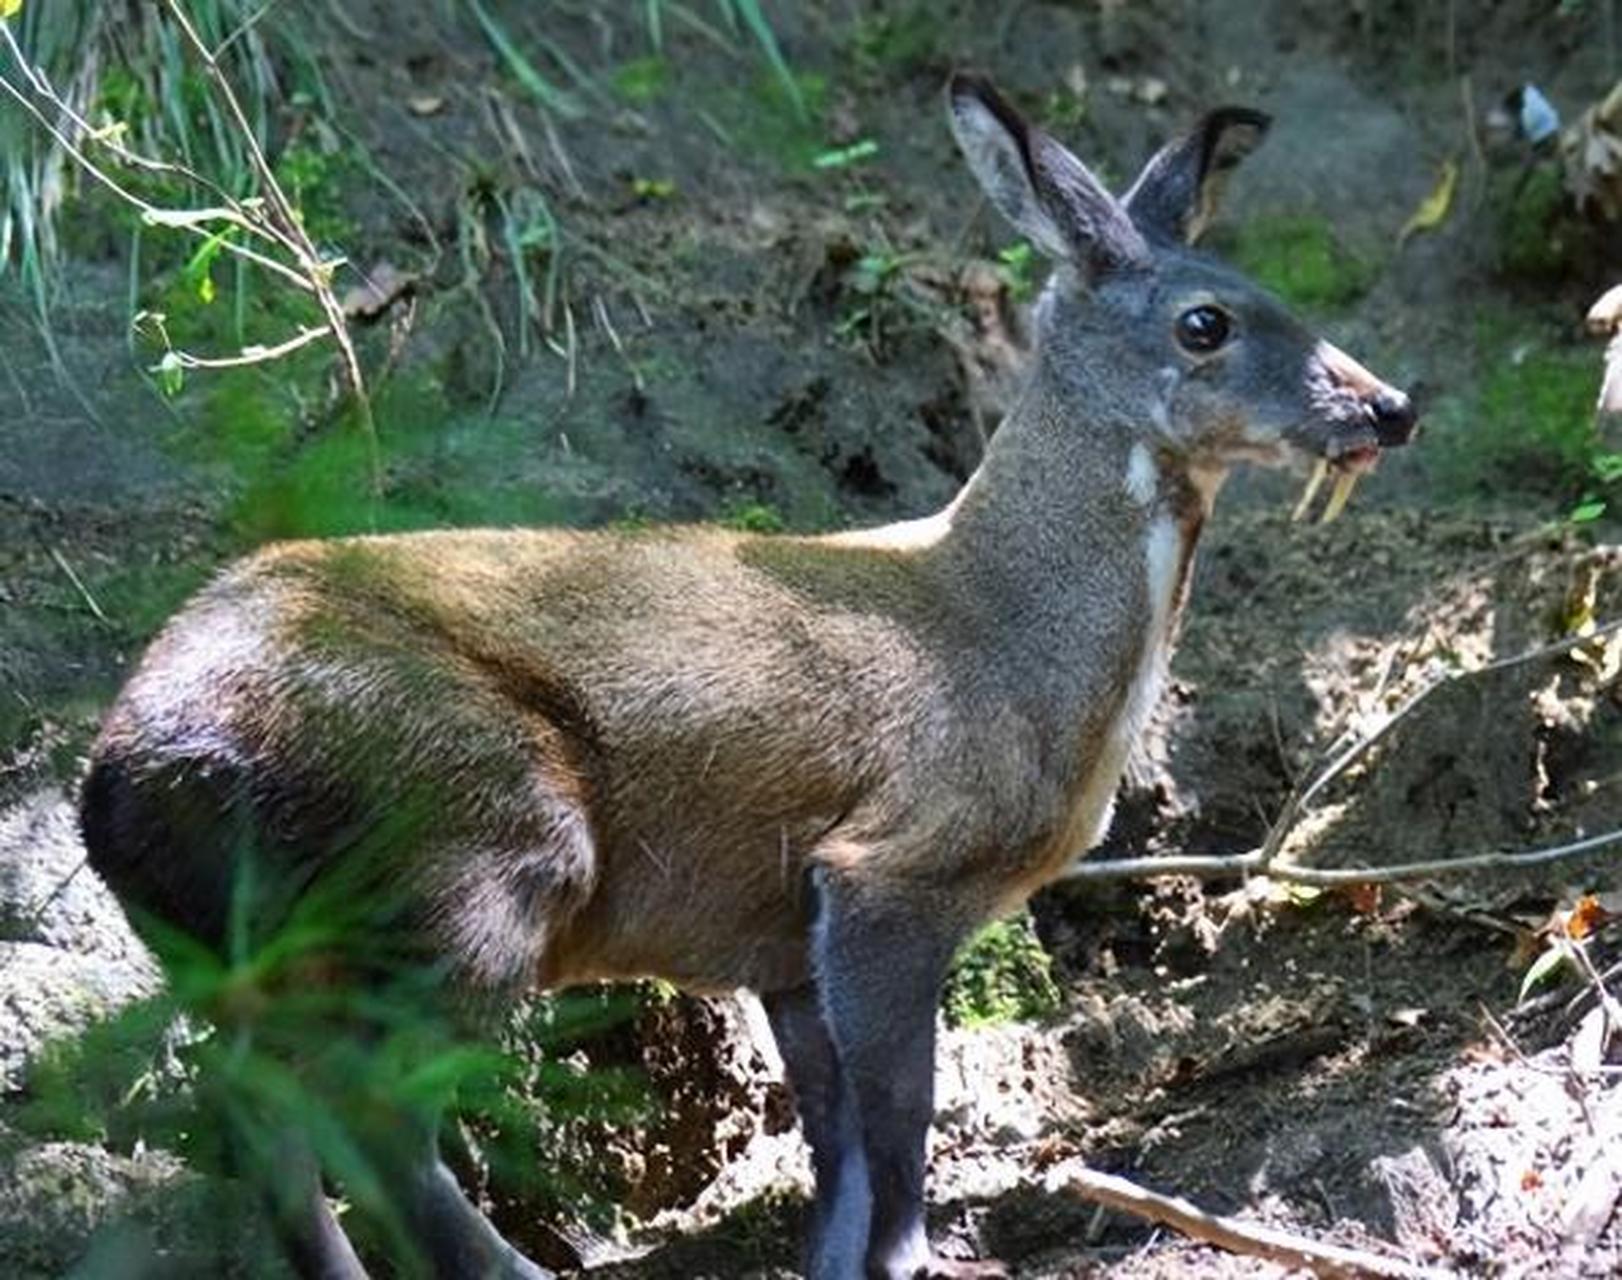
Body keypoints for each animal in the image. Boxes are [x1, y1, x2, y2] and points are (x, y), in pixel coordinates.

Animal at [82, 77, 1414, 1278]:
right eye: (1205, 321)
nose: (1389, 405)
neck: (1011, 647)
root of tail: (121, 770)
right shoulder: (891, 864)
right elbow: (900, 1118)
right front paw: (914, 1260)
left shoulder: (777, 932)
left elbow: (838, 1142)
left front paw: (838, 1261)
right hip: (464, 843)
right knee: (370, 1113)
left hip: (244, 943)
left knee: (259, 1111)